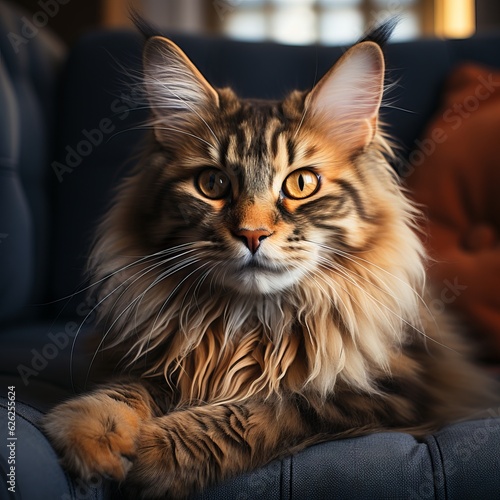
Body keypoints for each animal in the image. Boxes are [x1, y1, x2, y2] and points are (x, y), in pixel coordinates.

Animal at [44, 20, 496, 500]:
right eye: (212, 183)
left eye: (302, 183)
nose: (252, 234)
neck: (251, 322)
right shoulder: (150, 358)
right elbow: (124, 390)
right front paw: (92, 435)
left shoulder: (386, 393)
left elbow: (269, 407)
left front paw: (156, 451)